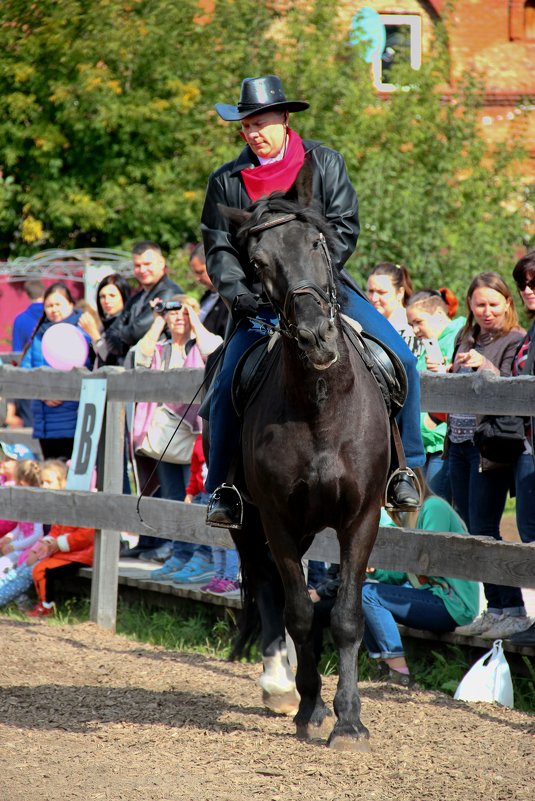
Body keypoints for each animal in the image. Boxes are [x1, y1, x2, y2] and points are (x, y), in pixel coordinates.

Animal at [216, 173, 392, 752]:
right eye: (258, 262)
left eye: (319, 243)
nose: (316, 336)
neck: (320, 406)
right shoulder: (276, 519)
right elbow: (298, 610)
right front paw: (312, 708)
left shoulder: (362, 517)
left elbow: (345, 617)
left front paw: (350, 721)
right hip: (247, 524)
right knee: (268, 587)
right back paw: (280, 685)